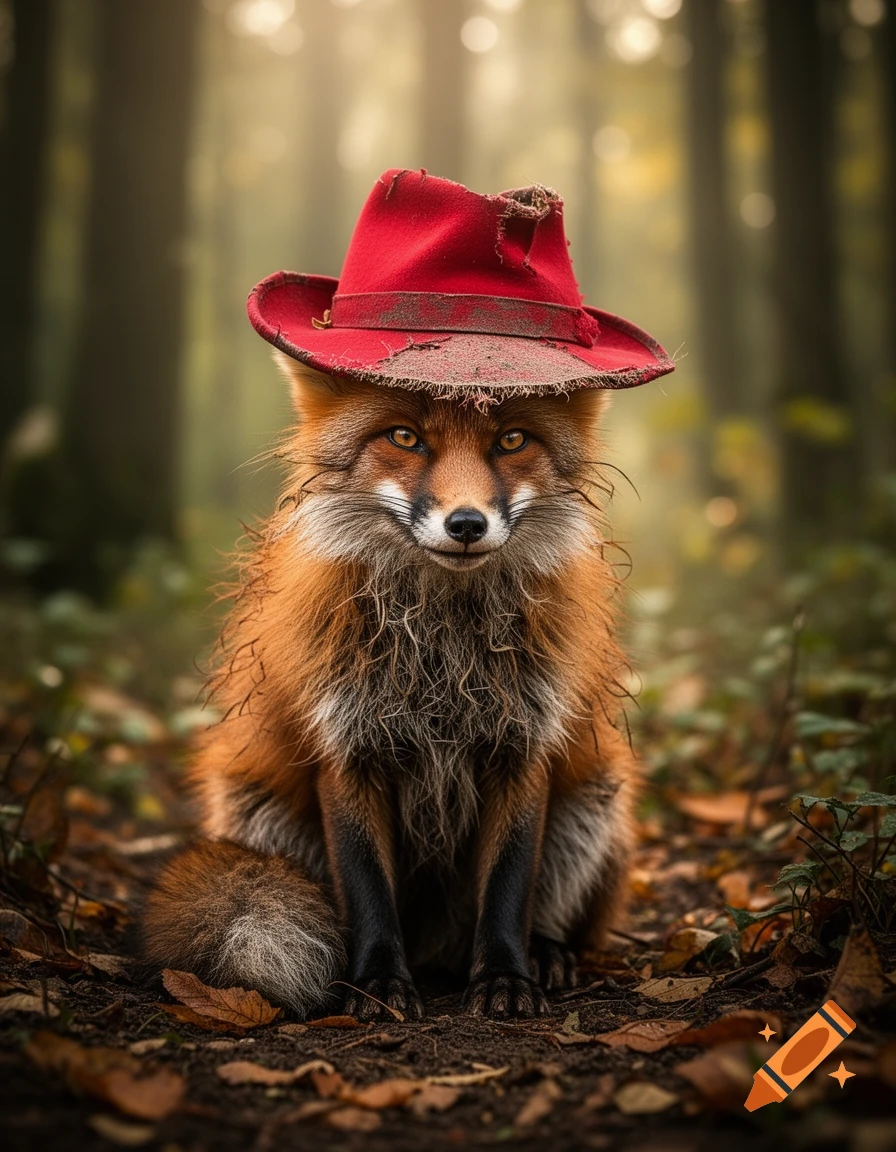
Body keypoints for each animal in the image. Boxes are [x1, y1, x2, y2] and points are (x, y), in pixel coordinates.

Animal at [141, 356, 639, 1020]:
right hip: (261, 815)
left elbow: (508, 890)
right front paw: (377, 982)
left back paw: (545, 952)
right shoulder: (347, 749)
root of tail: (435, 946)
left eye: (512, 440)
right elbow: (366, 891)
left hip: (593, 807)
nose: (466, 524)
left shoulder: (523, 748)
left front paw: (505, 976)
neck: (444, 657)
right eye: (405, 437)